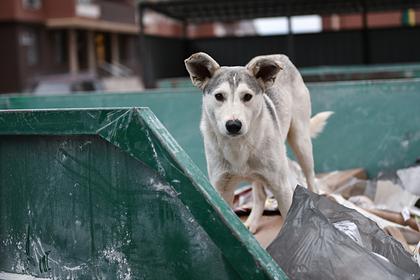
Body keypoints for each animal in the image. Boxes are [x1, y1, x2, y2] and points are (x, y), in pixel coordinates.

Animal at [185, 52, 334, 232]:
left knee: (310, 178)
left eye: (247, 96)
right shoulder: (221, 189)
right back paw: (252, 223)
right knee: (260, 195)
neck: (239, 146)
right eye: (219, 96)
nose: (233, 125)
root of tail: (279, 55)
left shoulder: (281, 187)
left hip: (301, 142)